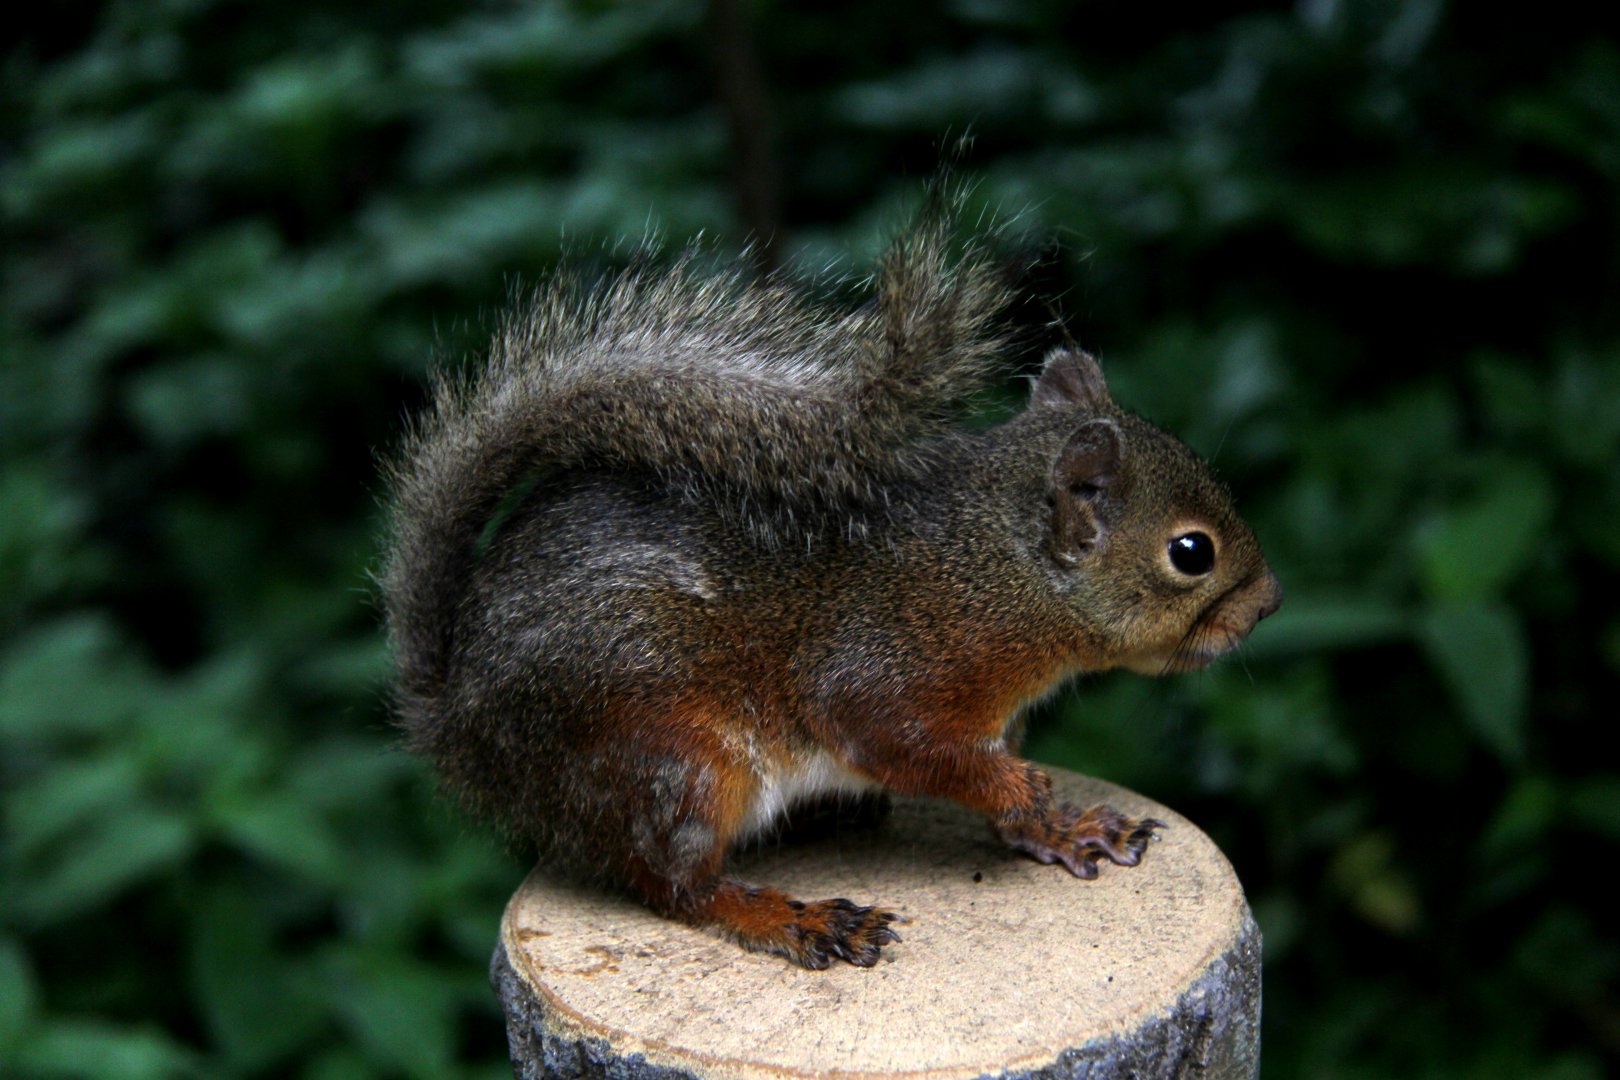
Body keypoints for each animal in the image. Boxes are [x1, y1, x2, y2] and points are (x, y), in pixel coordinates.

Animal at [381, 213, 1282, 970]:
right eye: (1192, 553)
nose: (1268, 604)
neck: (1003, 571)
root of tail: (460, 727)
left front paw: (1062, 825)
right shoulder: (892, 662)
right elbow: (896, 738)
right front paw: (1017, 790)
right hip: (667, 752)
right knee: (677, 884)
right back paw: (793, 917)